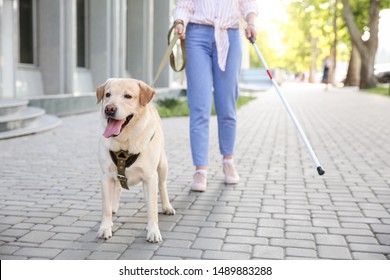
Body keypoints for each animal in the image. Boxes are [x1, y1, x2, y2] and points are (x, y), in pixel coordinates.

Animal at [96, 77, 175, 242]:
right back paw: (114, 207)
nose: (109, 109)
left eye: (128, 96)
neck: (124, 141)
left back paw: (167, 206)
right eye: (107, 94)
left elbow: (152, 208)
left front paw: (153, 231)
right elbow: (105, 207)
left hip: (162, 165)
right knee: (118, 187)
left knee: (162, 186)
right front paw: (105, 227)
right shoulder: (105, 176)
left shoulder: (150, 177)